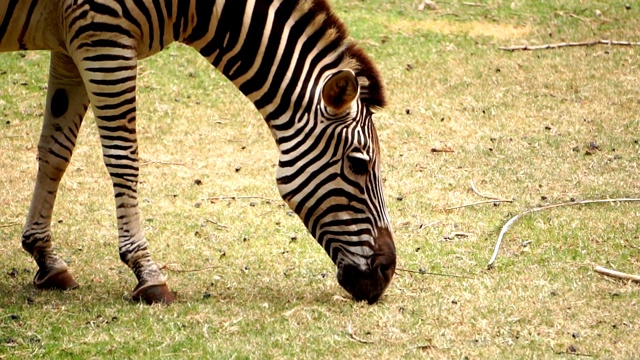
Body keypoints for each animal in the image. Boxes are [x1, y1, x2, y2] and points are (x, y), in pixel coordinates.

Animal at [1, 0, 396, 304]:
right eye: (358, 163)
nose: (388, 270)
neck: (192, 7)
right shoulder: (103, 38)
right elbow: (123, 158)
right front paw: (147, 272)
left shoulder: (71, 44)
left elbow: (55, 152)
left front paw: (46, 258)